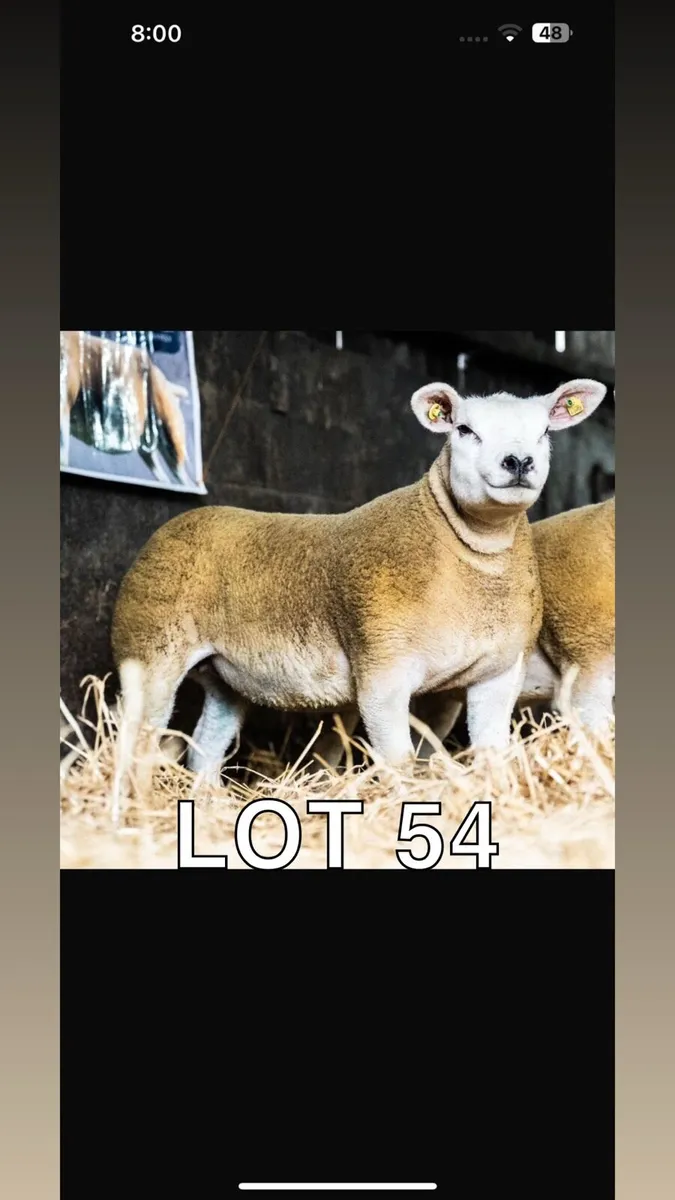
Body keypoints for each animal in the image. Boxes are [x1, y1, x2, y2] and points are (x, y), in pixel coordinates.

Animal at [110, 377, 607, 802]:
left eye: (544, 432)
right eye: (465, 429)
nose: (518, 462)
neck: (470, 552)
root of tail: (180, 522)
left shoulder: (499, 671)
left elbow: (491, 754)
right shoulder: (382, 671)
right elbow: (400, 763)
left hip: (224, 675)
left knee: (205, 750)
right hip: (148, 648)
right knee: (137, 737)